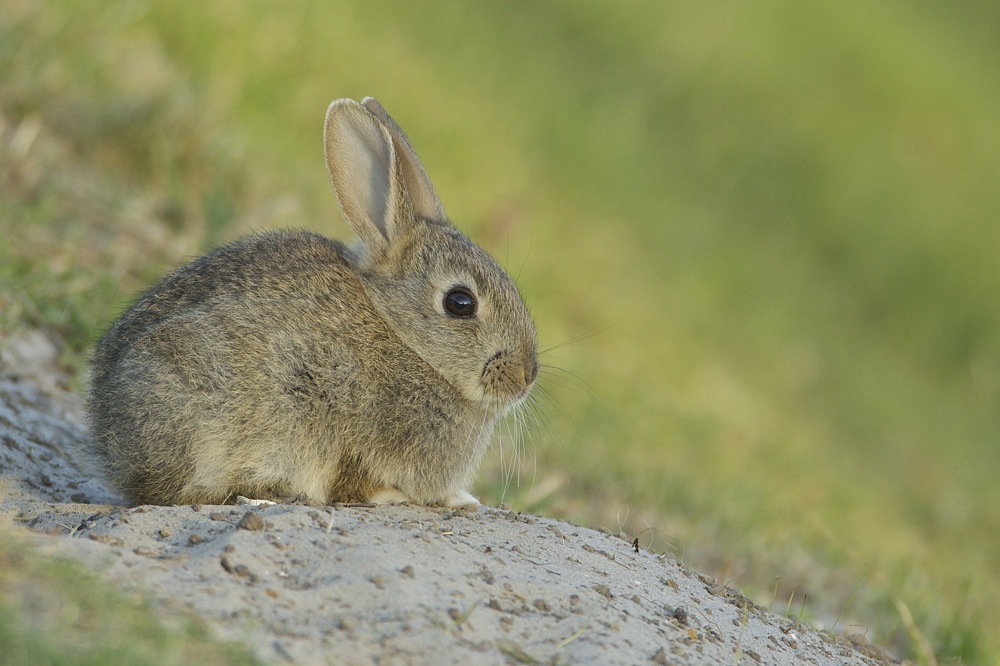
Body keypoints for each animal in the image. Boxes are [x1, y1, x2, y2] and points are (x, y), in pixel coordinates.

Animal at [86, 96, 540, 506]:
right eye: (460, 302)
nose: (526, 376)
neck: (407, 340)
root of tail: (110, 438)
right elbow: (357, 479)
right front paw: (400, 497)